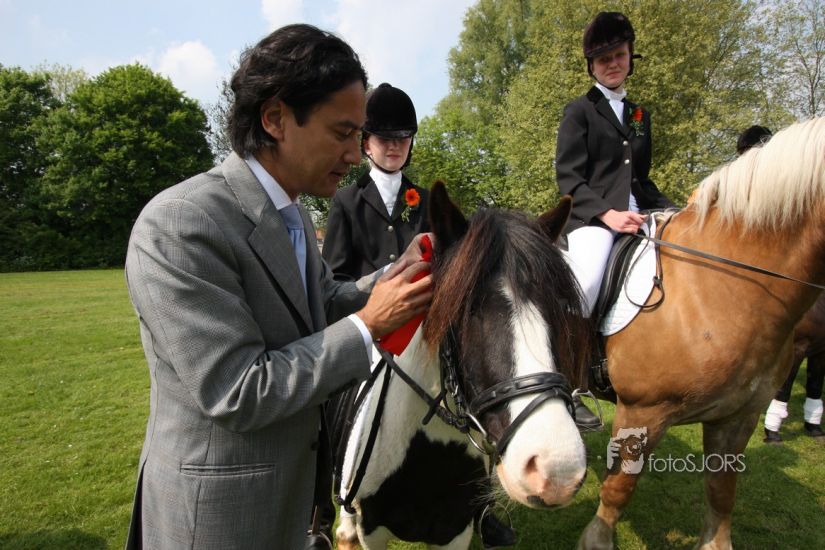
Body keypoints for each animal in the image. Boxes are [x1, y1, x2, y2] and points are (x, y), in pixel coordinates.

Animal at [333, 182, 594, 549]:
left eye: (558, 308)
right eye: (463, 308)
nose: (556, 470)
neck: (430, 460)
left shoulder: (456, 532)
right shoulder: (373, 530)